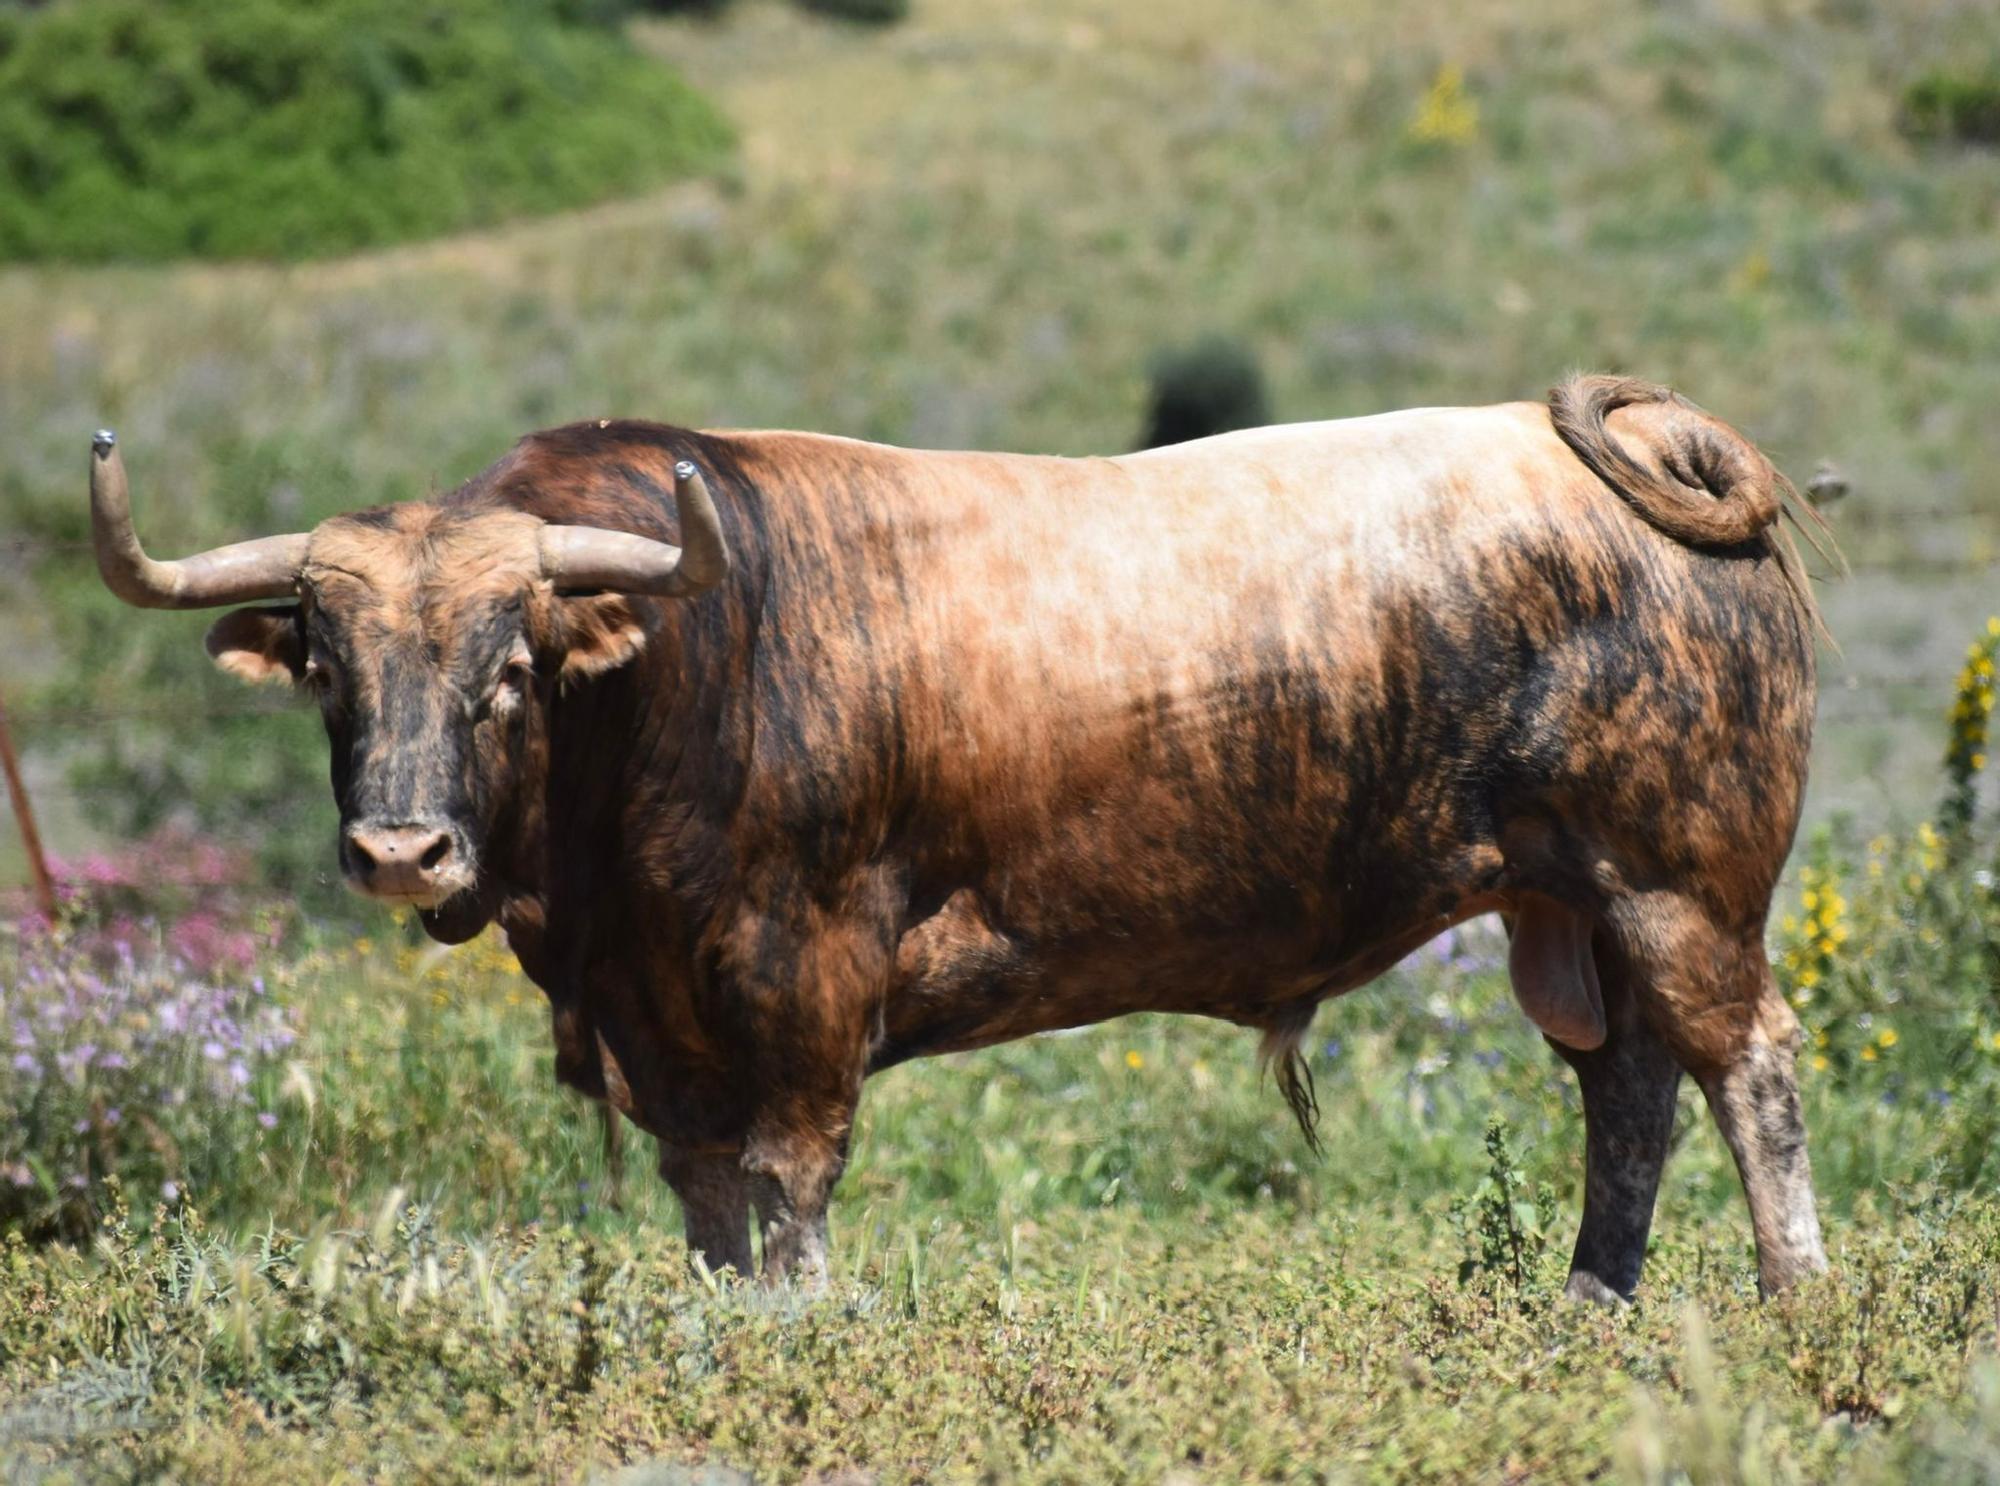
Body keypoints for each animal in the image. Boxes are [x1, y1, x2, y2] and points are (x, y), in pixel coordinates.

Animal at [97, 374, 1840, 1304]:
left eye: (509, 666)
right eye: (330, 667)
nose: (402, 852)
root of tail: (1620, 447)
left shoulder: (801, 982)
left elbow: (790, 1188)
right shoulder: (663, 1028)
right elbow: (709, 1202)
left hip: (1682, 883)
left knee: (1743, 1059)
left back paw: (1790, 1296)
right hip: (1573, 904)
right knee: (1627, 1085)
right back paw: (1591, 1301)